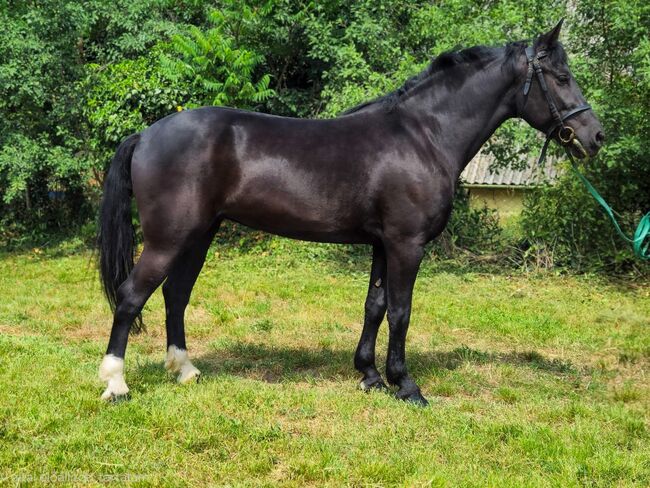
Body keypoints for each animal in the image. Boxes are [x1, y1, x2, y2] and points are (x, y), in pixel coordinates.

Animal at [97, 21, 604, 405]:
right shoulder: (406, 244)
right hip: (168, 239)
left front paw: (370, 376)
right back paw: (116, 384)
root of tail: (146, 134)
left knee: (175, 295)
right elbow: (401, 311)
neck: (423, 135)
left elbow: (374, 307)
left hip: (199, 235)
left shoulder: (382, 243)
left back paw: (184, 370)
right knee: (131, 297)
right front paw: (406, 386)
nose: (595, 136)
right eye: (560, 76)